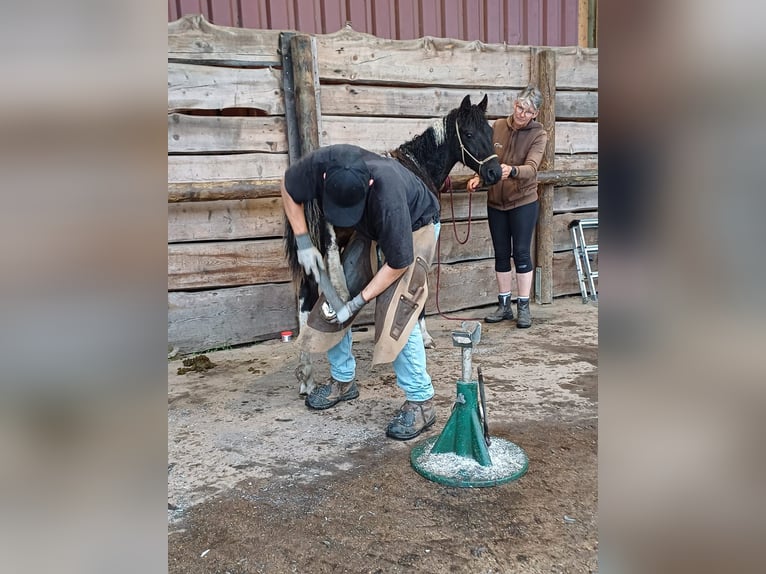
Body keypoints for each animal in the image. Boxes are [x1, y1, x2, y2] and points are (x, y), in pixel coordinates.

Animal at [284, 97, 500, 398]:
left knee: (306, 303)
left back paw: (307, 376)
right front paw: (424, 336)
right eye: (468, 134)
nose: (495, 173)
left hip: (313, 257)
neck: (418, 166)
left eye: (490, 132)